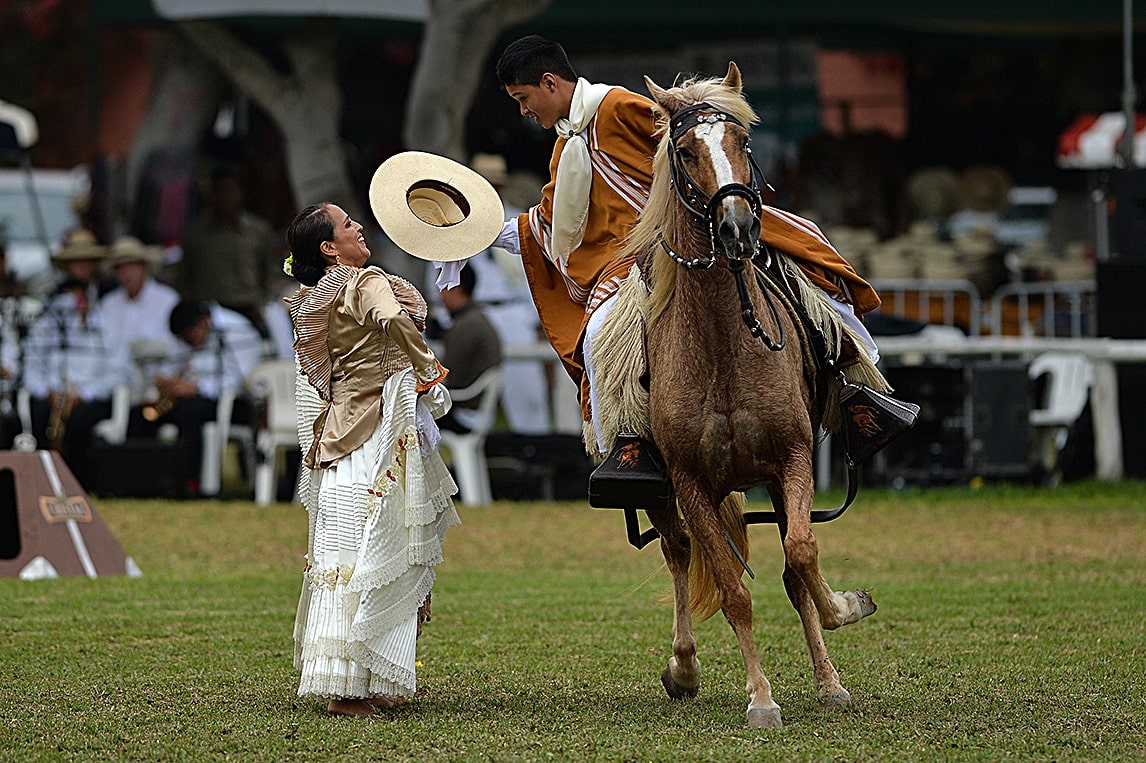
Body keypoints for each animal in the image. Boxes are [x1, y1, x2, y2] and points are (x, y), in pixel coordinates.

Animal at [593, 63, 883, 729]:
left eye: (743, 142)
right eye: (684, 151)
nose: (738, 228)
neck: (724, 349)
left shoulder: (790, 461)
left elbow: (801, 556)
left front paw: (843, 617)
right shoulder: (692, 483)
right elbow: (733, 591)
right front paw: (761, 699)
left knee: (791, 568)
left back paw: (827, 679)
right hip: (662, 489)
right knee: (678, 552)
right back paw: (683, 667)